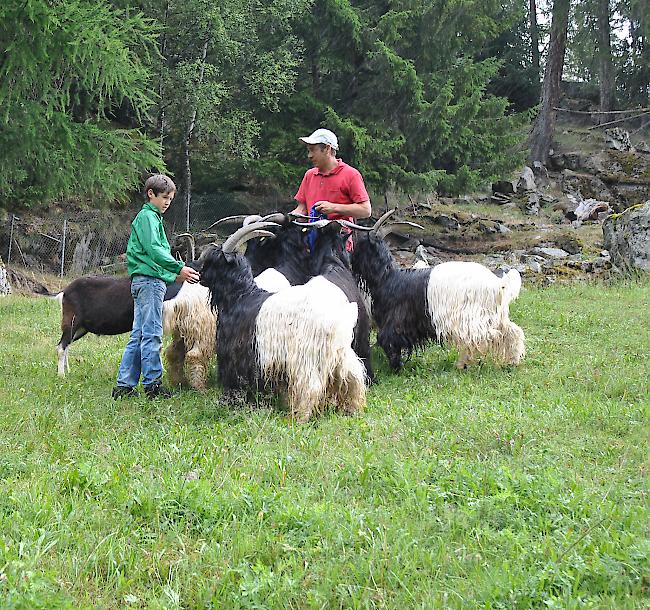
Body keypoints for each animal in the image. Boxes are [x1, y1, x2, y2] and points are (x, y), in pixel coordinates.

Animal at [197, 221, 364, 420]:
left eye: (213, 261)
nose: (200, 275)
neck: (241, 295)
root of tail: (338, 320)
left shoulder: (235, 352)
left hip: (306, 358)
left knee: (310, 386)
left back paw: (299, 416)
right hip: (340, 354)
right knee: (353, 376)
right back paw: (352, 408)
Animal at [350, 209, 520, 370]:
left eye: (361, 245)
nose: (351, 261)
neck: (387, 277)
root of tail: (497, 284)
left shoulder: (396, 320)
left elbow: (388, 340)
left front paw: (396, 367)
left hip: (472, 317)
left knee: (484, 336)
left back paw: (463, 363)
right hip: (496, 316)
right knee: (512, 332)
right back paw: (512, 361)